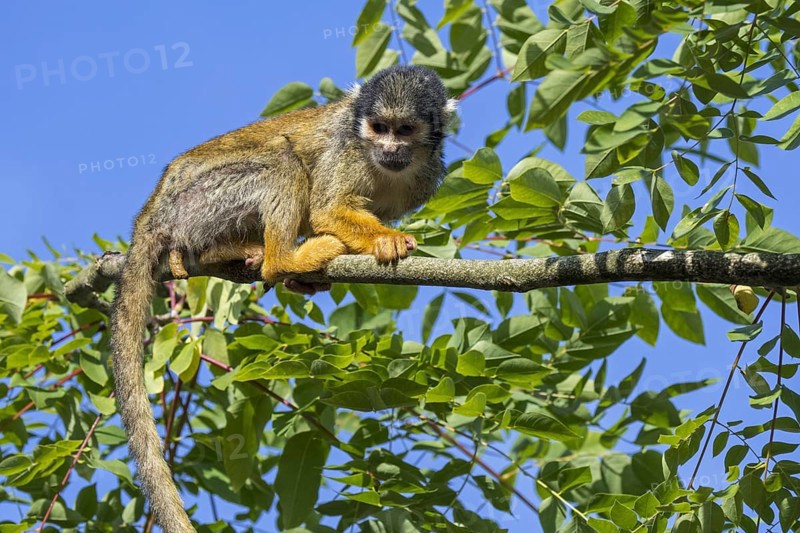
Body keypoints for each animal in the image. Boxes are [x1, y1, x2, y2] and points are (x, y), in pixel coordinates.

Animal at [109, 64, 456, 532]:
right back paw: (279, 259)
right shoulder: (347, 150)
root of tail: (152, 213)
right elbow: (327, 209)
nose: (388, 148)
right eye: (378, 128)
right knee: (281, 160)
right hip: (199, 202)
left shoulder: (425, 177)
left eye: (404, 131)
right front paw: (385, 240)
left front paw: (309, 281)